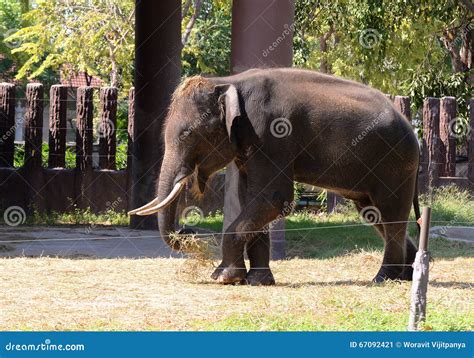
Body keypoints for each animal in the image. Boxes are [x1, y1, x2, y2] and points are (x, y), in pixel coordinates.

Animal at [128, 67, 420, 286]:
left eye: (187, 134)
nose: (186, 231)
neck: (228, 82)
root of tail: (411, 126)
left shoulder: (269, 133)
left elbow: (273, 198)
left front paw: (223, 277)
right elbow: (250, 198)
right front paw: (257, 281)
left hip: (395, 163)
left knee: (390, 212)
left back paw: (384, 279)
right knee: (373, 213)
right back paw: (409, 274)